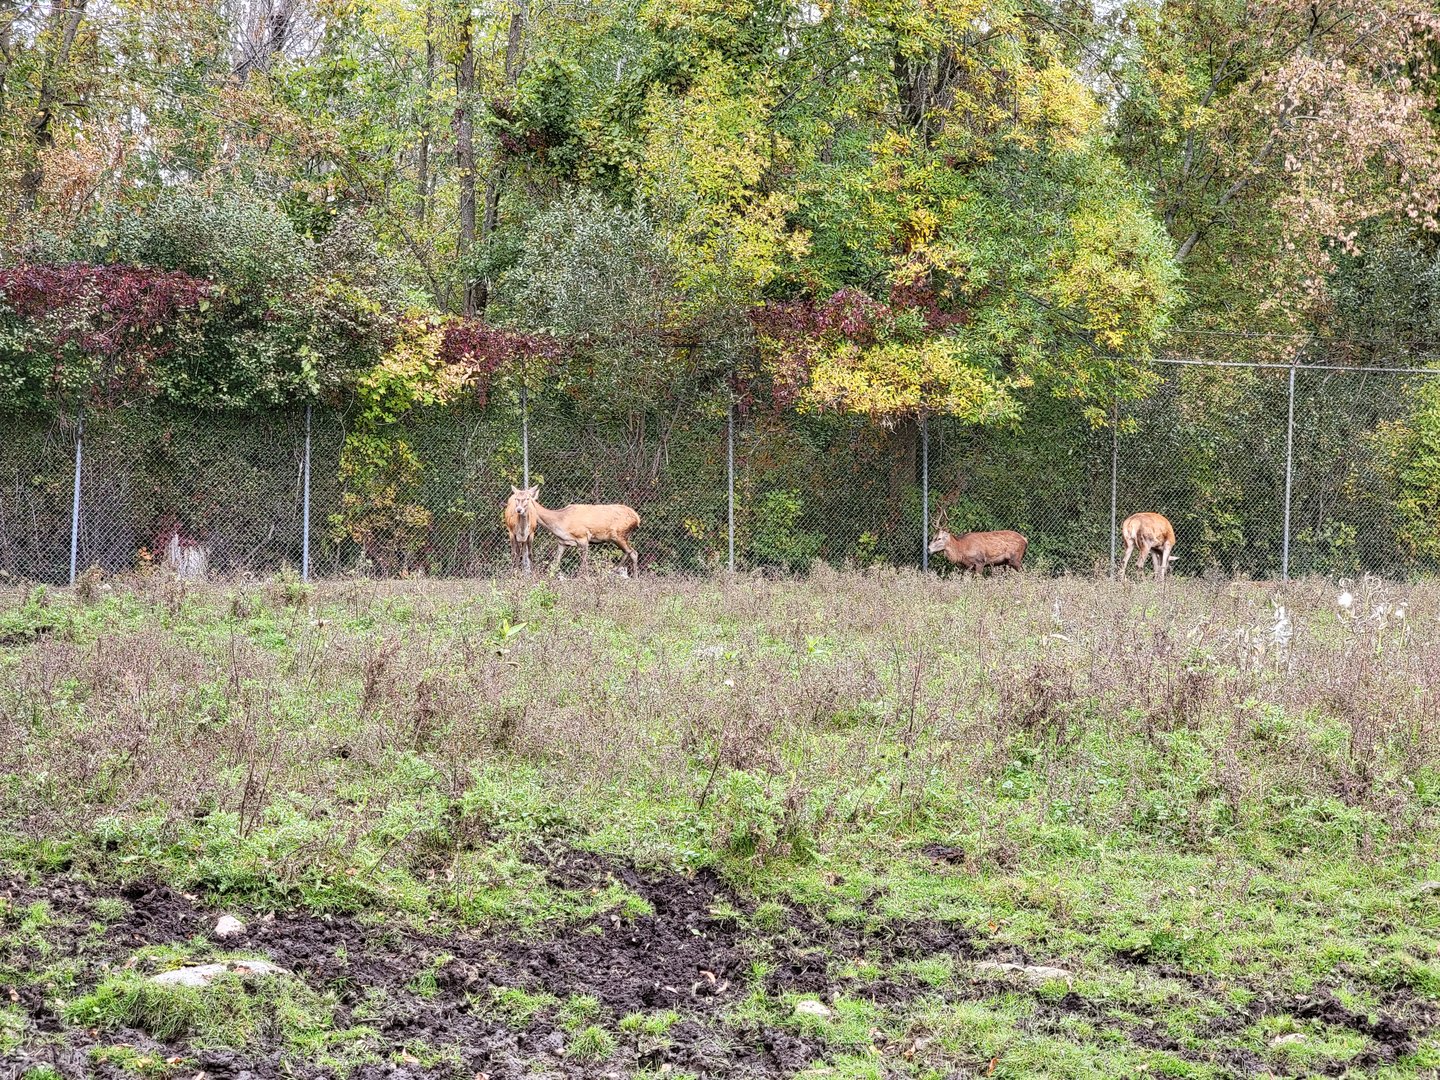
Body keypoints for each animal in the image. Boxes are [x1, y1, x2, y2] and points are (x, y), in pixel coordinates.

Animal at [510, 485, 641, 577]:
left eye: (527, 498)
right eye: (516, 498)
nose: (518, 509)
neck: (561, 522)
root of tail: (637, 518)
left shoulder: (583, 538)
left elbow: (584, 566)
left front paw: (583, 580)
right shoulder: (562, 542)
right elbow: (555, 564)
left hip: (618, 534)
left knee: (633, 552)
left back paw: (631, 577)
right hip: (620, 537)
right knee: (629, 552)